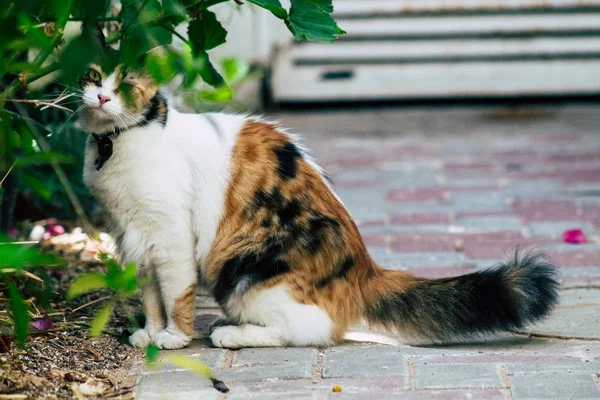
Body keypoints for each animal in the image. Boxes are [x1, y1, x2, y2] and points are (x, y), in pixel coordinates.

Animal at [77, 28, 560, 348]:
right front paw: (149, 332)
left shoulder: (170, 238)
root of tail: (365, 267)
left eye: (125, 85)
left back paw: (230, 334)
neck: (119, 143)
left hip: (244, 272)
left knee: (307, 331)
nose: (101, 97)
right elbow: (151, 296)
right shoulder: (135, 237)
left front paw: (174, 338)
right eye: (94, 76)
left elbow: (175, 294)